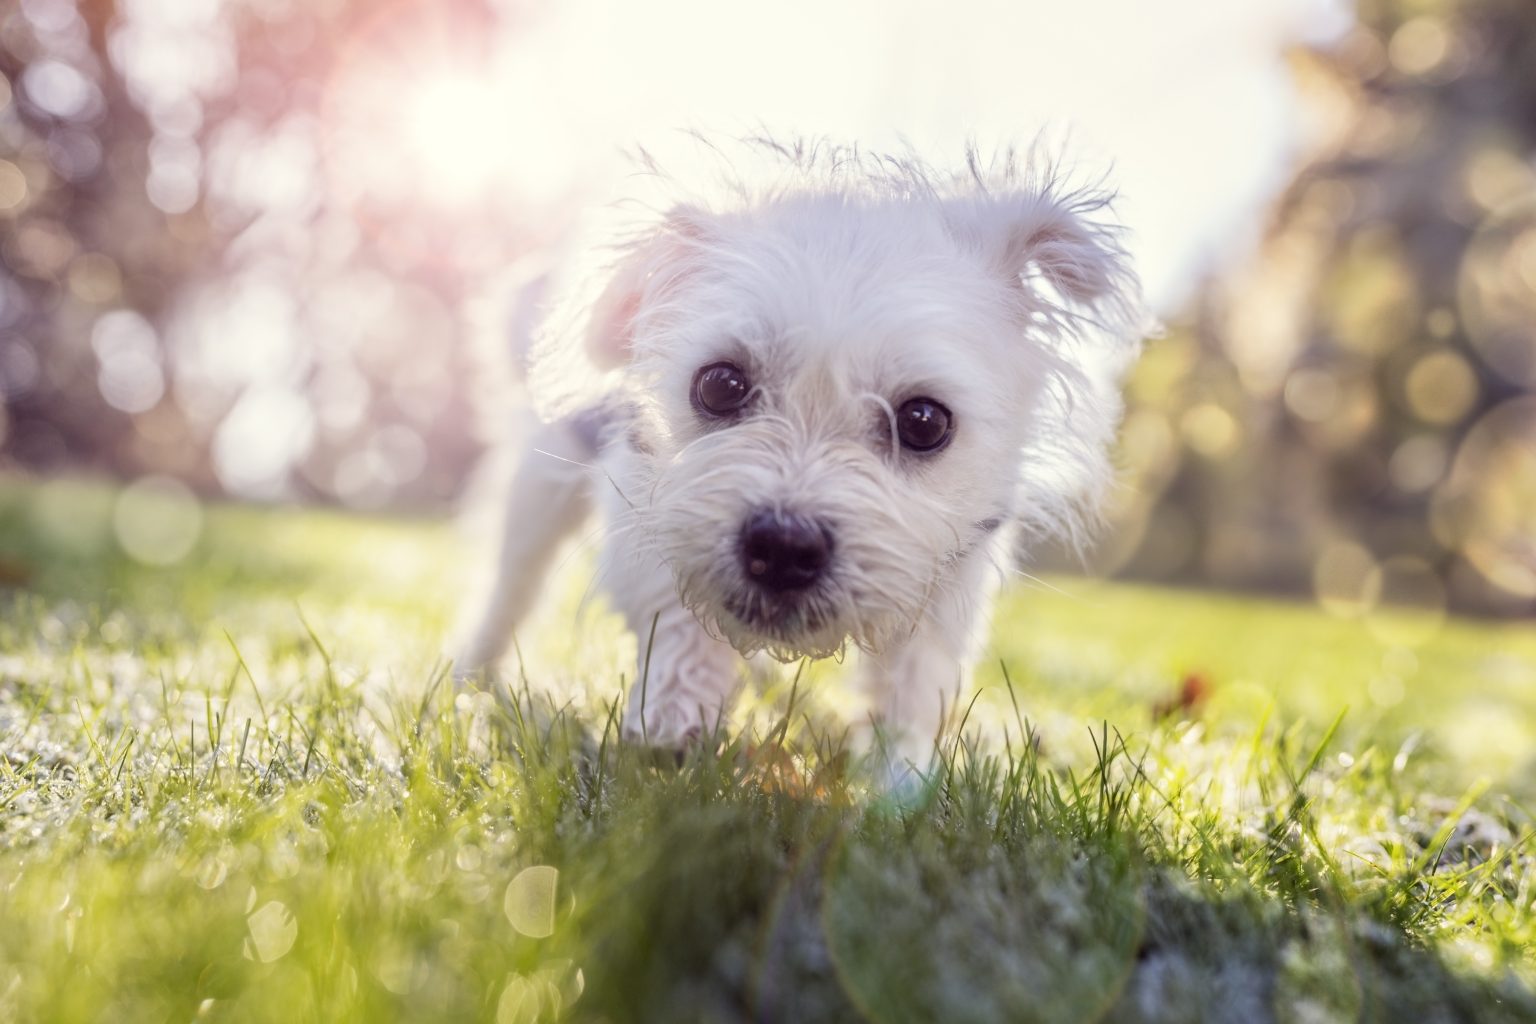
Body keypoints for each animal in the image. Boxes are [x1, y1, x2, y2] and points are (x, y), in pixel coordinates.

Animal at [451, 144, 1142, 779]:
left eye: (924, 421)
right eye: (719, 384)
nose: (783, 546)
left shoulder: (952, 569)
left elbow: (914, 682)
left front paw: (901, 784)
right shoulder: (644, 507)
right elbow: (678, 621)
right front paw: (672, 733)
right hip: (542, 483)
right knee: (512, 584)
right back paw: (470, 680)